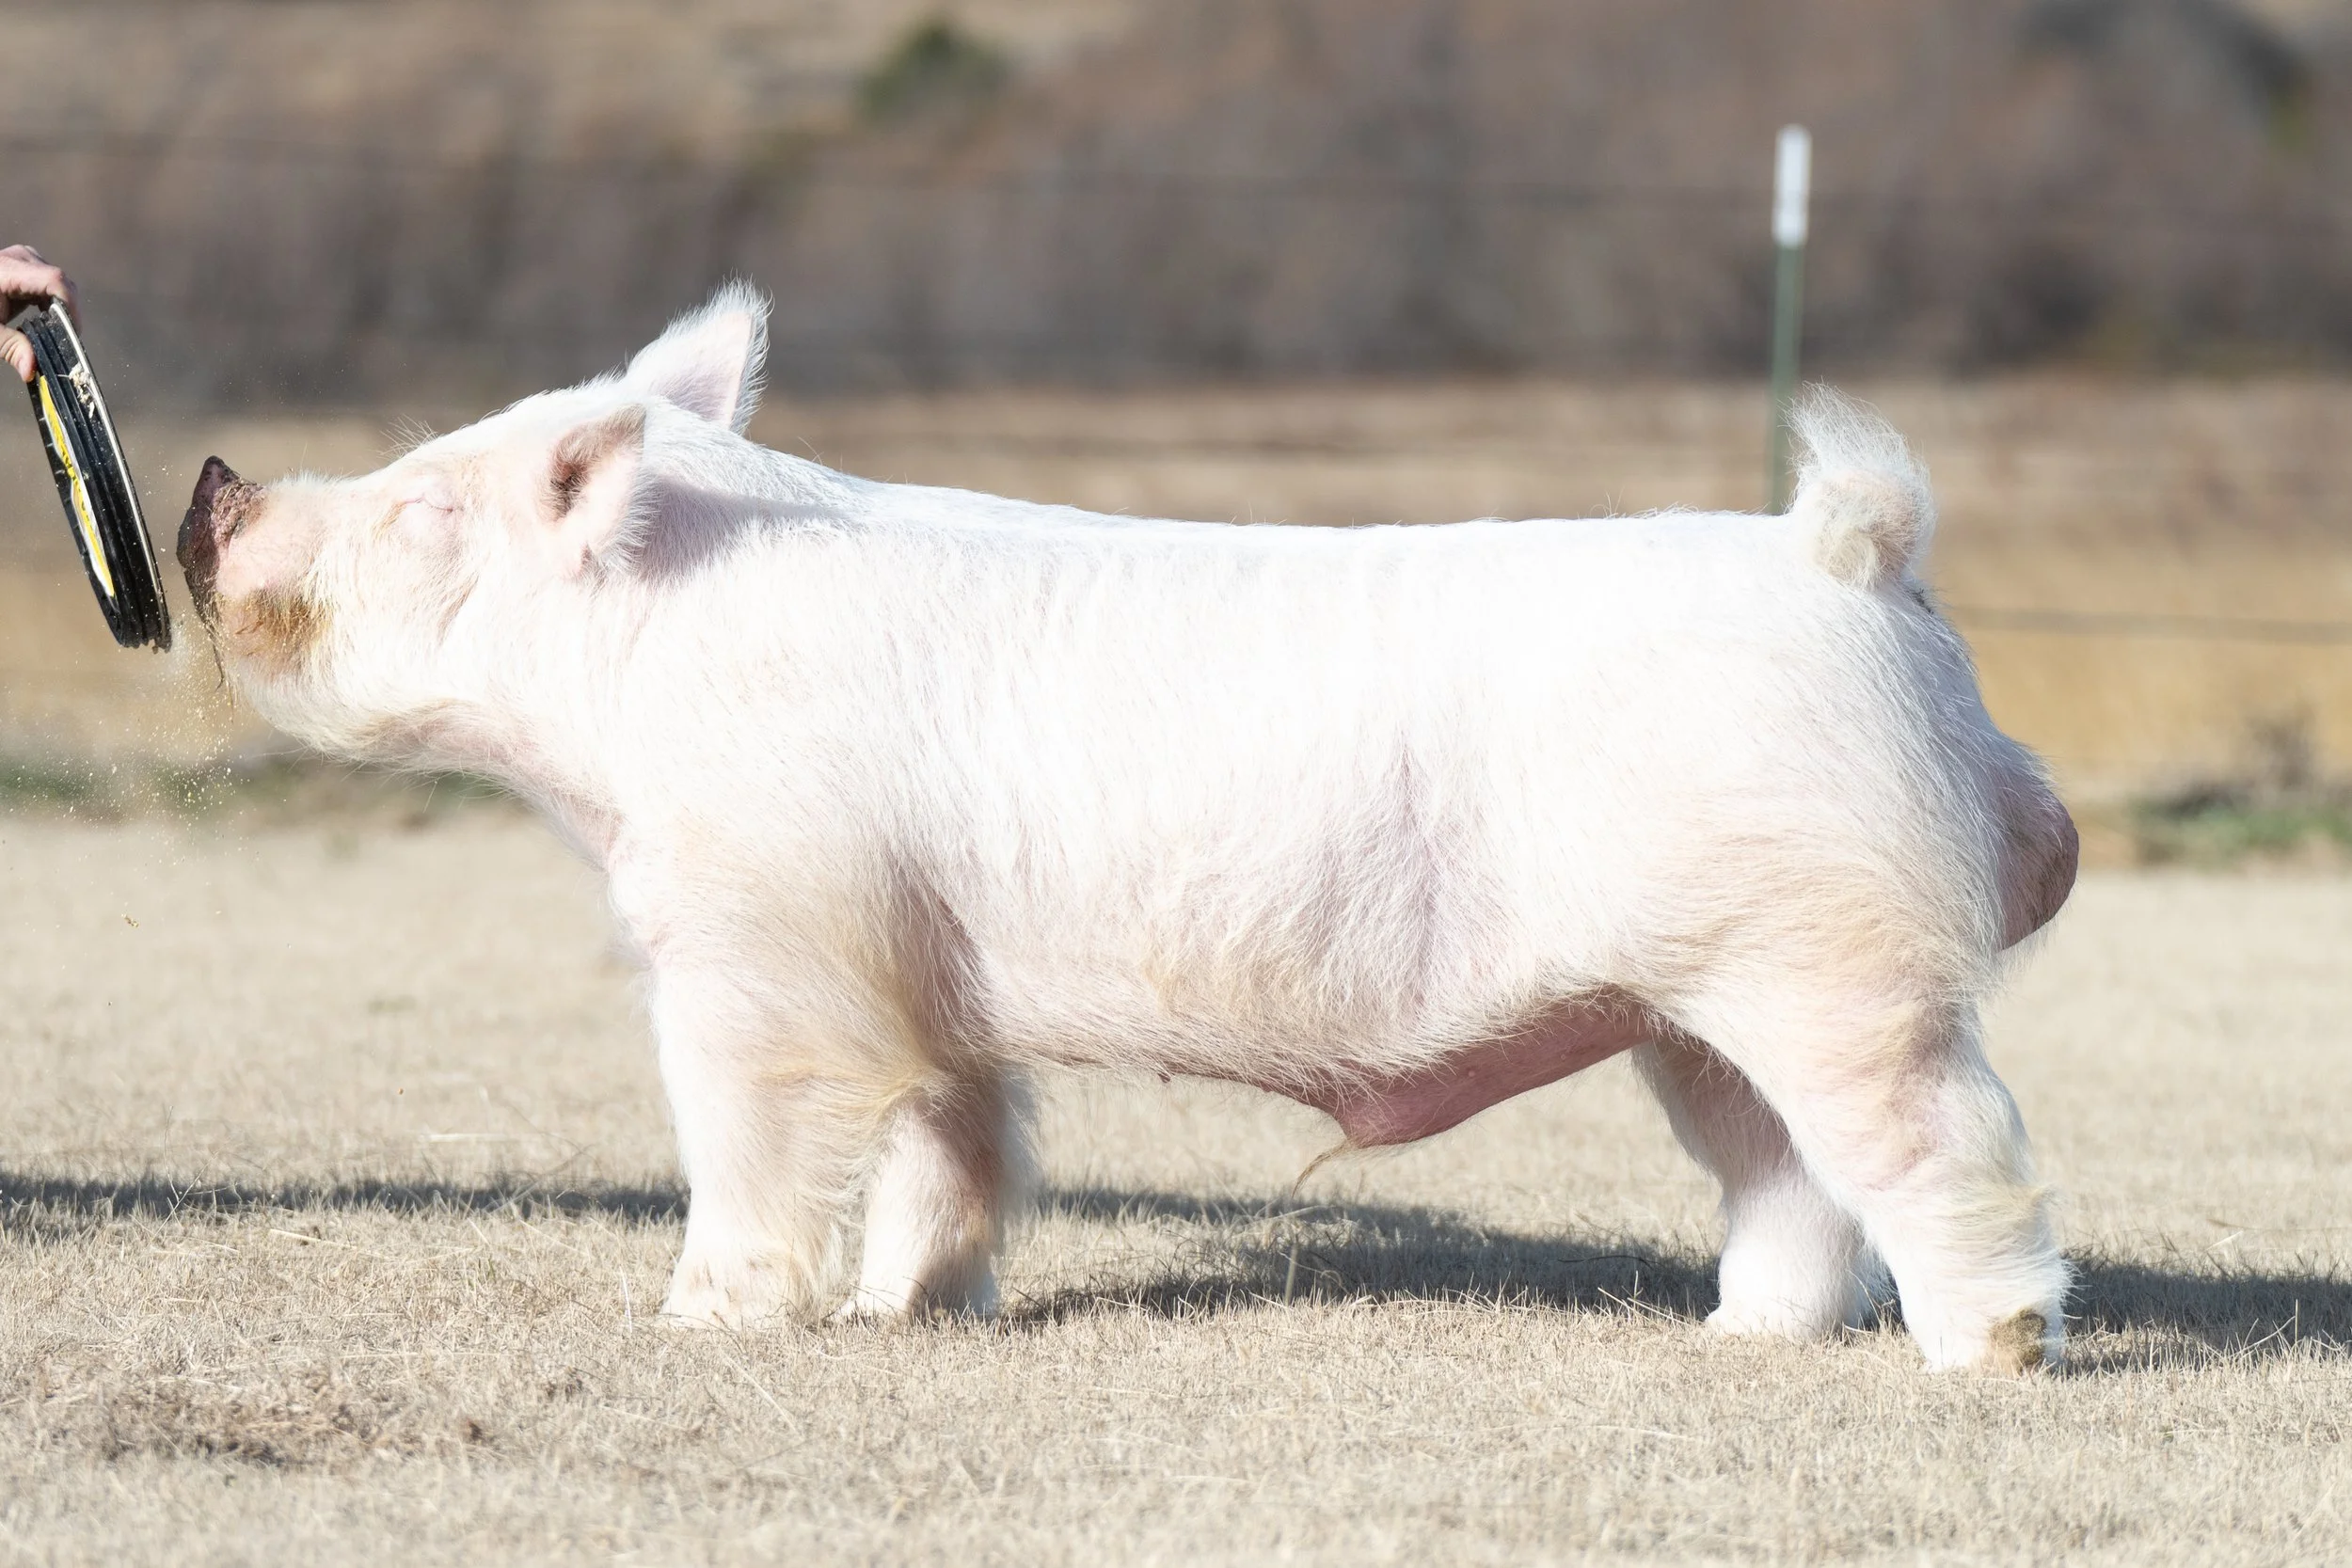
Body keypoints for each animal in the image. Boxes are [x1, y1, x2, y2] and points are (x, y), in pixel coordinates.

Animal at [178, 285, 2079, 1373]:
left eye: (425, 504)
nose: (215, 484)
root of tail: (1848, 553)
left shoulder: (760, 934)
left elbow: (750, 1130)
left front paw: (701, 1321)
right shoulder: (918, 970)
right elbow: (954, 1141)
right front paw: (900, 1311)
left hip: (1831, 954)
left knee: (1937, 1140)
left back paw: (1984, 1356)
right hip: (1698, 1001)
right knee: (1788, 1177)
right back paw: (1742, 1340)